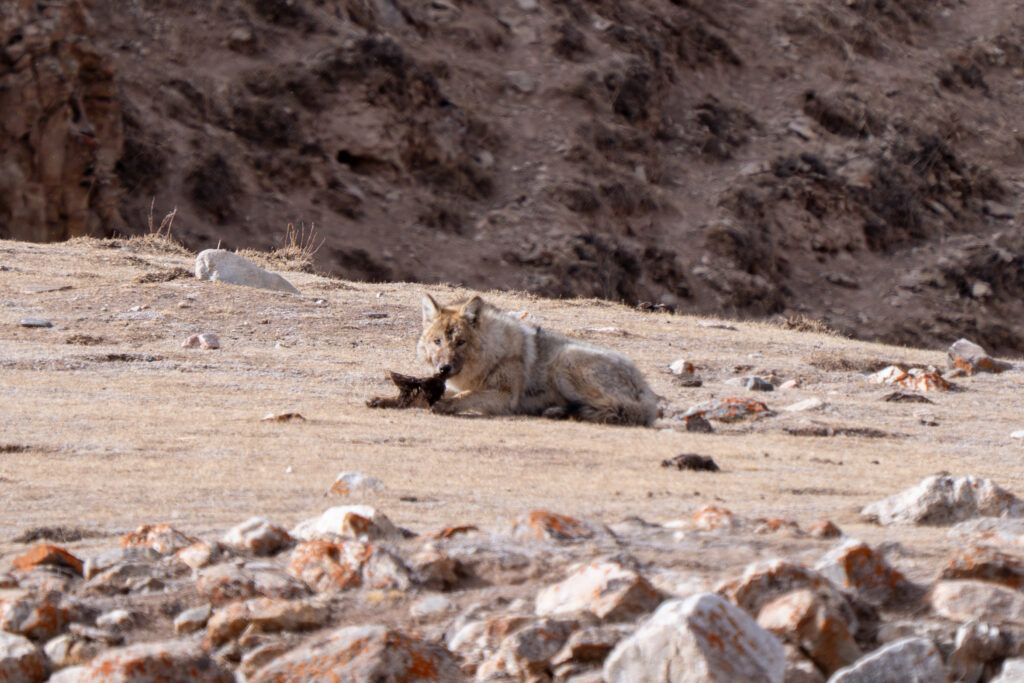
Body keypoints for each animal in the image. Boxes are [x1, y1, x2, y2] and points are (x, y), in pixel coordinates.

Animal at [418, 294, 659, 426]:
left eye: (460, 342)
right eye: (438, 341)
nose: (443, 369)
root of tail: (645, 387)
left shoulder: (506, 398)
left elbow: (468, 395)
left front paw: (445, 405)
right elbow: (452, 392)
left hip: (565, 360)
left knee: (610, 409)